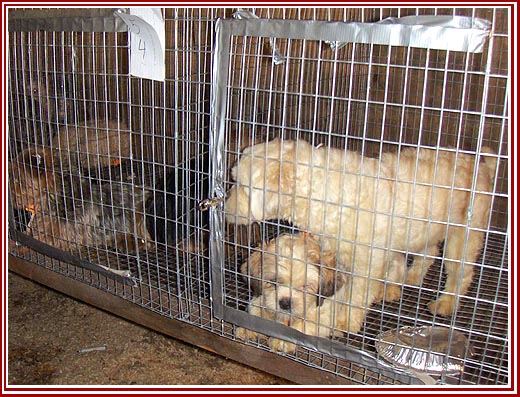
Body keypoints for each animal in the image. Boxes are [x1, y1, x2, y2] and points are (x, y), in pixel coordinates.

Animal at [225, 138, 498, 336]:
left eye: (242, 185)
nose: (225, 208)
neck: (321, 193)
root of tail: (481, 164)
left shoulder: (367, 263)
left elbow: (356, 297)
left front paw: (345, 322)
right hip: (426, 231)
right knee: (428, 253)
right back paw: (409, 279)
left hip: (464, 236)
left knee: (460, 273)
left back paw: (446, 303)